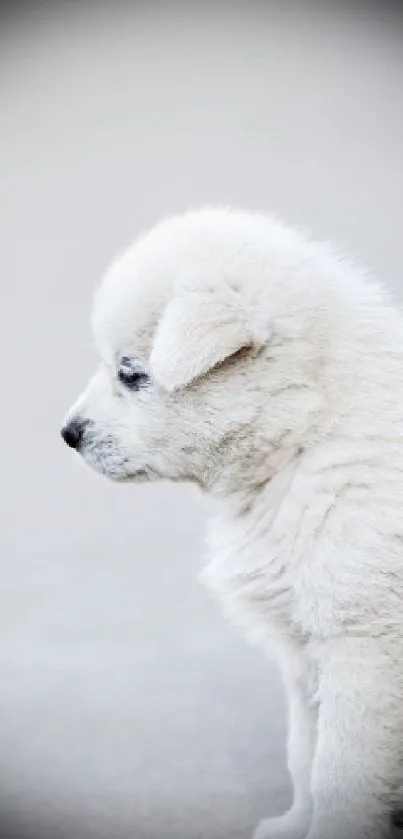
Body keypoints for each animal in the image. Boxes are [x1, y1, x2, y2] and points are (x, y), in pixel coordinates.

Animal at [61, 210, 403, 839]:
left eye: (131, 373)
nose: (68, 434)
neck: (305, 435)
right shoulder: (302, 650)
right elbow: (303, 753)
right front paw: (295, 826)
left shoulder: (363, 648)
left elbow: (340, 772)